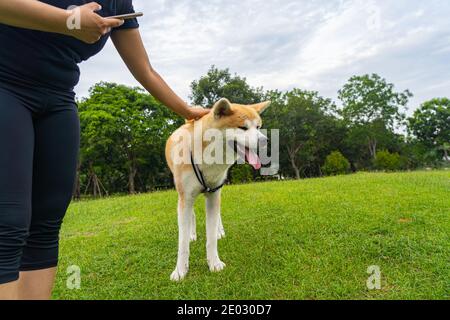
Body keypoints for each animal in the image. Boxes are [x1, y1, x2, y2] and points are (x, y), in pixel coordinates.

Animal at [166, 97, 268, 280]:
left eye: (258, 127)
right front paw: (180, 271)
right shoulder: (185, 197)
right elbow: (182, 242)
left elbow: (211, 236)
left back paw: (220, 231)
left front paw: (214, 263)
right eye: (243, 128)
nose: (265, 141)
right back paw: (192, 234)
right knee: (191, 215)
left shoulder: (214, 194)